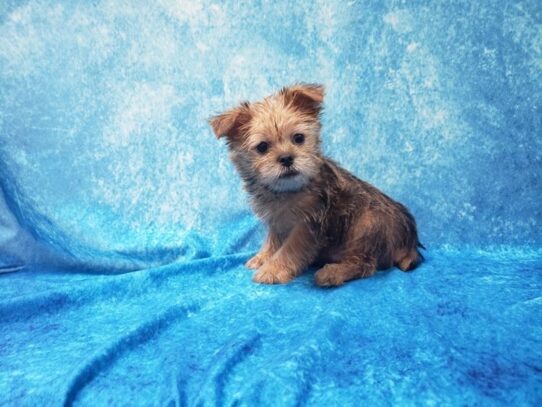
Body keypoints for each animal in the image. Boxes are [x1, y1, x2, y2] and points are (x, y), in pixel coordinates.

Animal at [209, 83, 424, 286]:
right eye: (262, 147)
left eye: (298, 138)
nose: (286, 158)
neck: (288, 191)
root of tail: (410, 242)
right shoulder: (277, 221)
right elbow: (273, 241)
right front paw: (263, 257)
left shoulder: (308, 226)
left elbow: (289, 249)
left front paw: (272, 270)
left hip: (368, 224)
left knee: (364, 264)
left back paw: (331, 273)